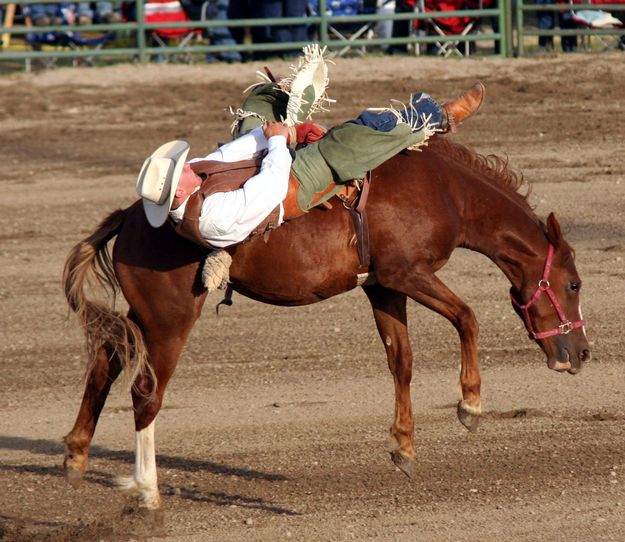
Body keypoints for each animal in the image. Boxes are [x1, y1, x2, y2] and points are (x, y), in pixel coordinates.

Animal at [63, 136, 588, 510]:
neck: (446, 191)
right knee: (145, 392)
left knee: (106, 363)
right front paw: (470, 406)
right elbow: (467, 318)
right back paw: (147, 491)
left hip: (144, 316)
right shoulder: (408, 273)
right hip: (169, 320)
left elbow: (402, 361)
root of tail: (131, 217)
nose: (581, 352)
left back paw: (76, 453)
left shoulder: (383, 286)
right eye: (575, 284)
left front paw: (404, 447)